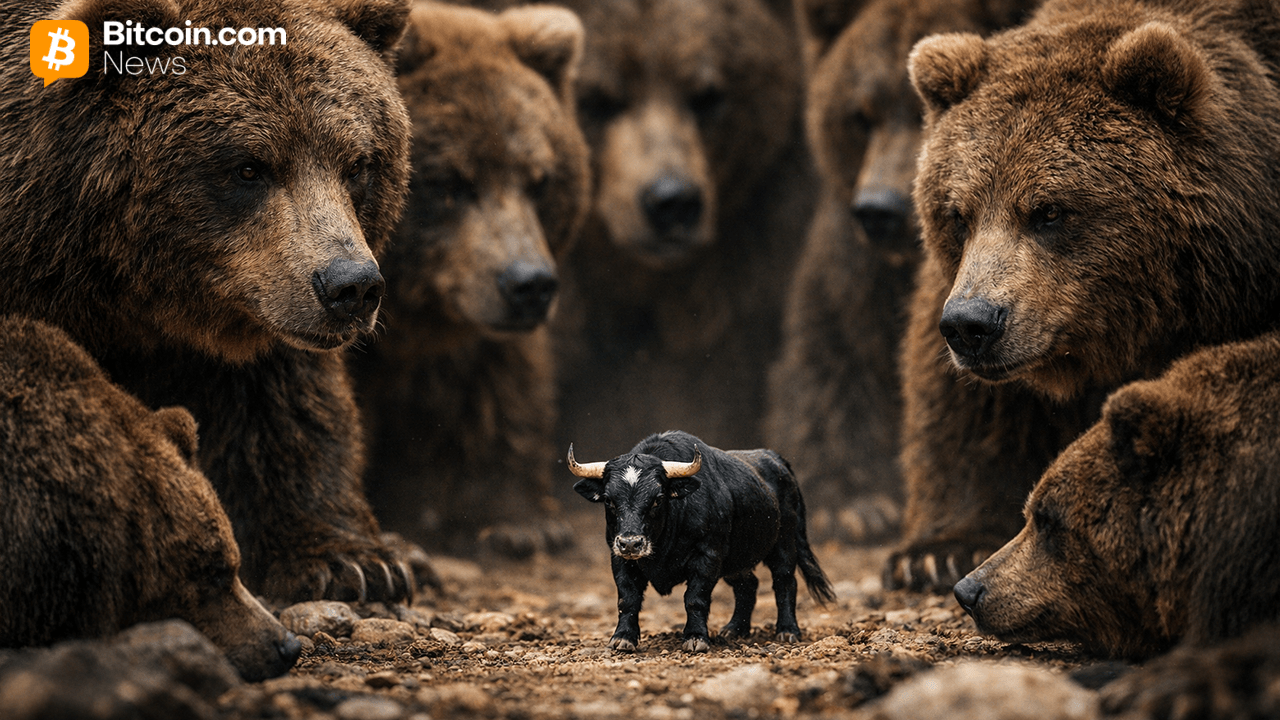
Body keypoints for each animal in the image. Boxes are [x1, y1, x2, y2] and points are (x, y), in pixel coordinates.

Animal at [0, 0, 417, 603]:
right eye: (248, 166)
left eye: (358, 163)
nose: (351, 287)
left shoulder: (254, 304)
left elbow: (282, 406)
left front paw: (355, 563)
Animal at [765, 0, 1035, 544]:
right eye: (860, 115)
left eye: (922, 112)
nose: (878, 209)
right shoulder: (850, 271)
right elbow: (826, 363)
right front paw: (854, 504)